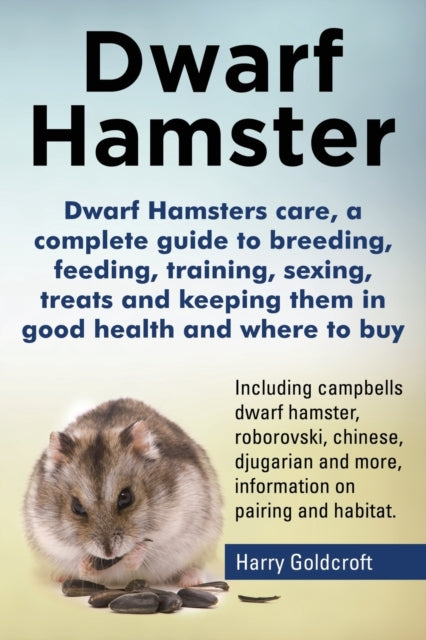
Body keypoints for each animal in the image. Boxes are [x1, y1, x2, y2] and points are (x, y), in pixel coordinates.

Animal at [23, 398, 222, 587]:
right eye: (77, 507)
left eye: (126, 498)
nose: (109, 554)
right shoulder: (50, 539)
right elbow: (78, 561)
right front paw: (86, 566)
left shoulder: (178, 528)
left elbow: (150, 547)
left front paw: (130, 560)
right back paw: (59, 577)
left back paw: (191, 580)